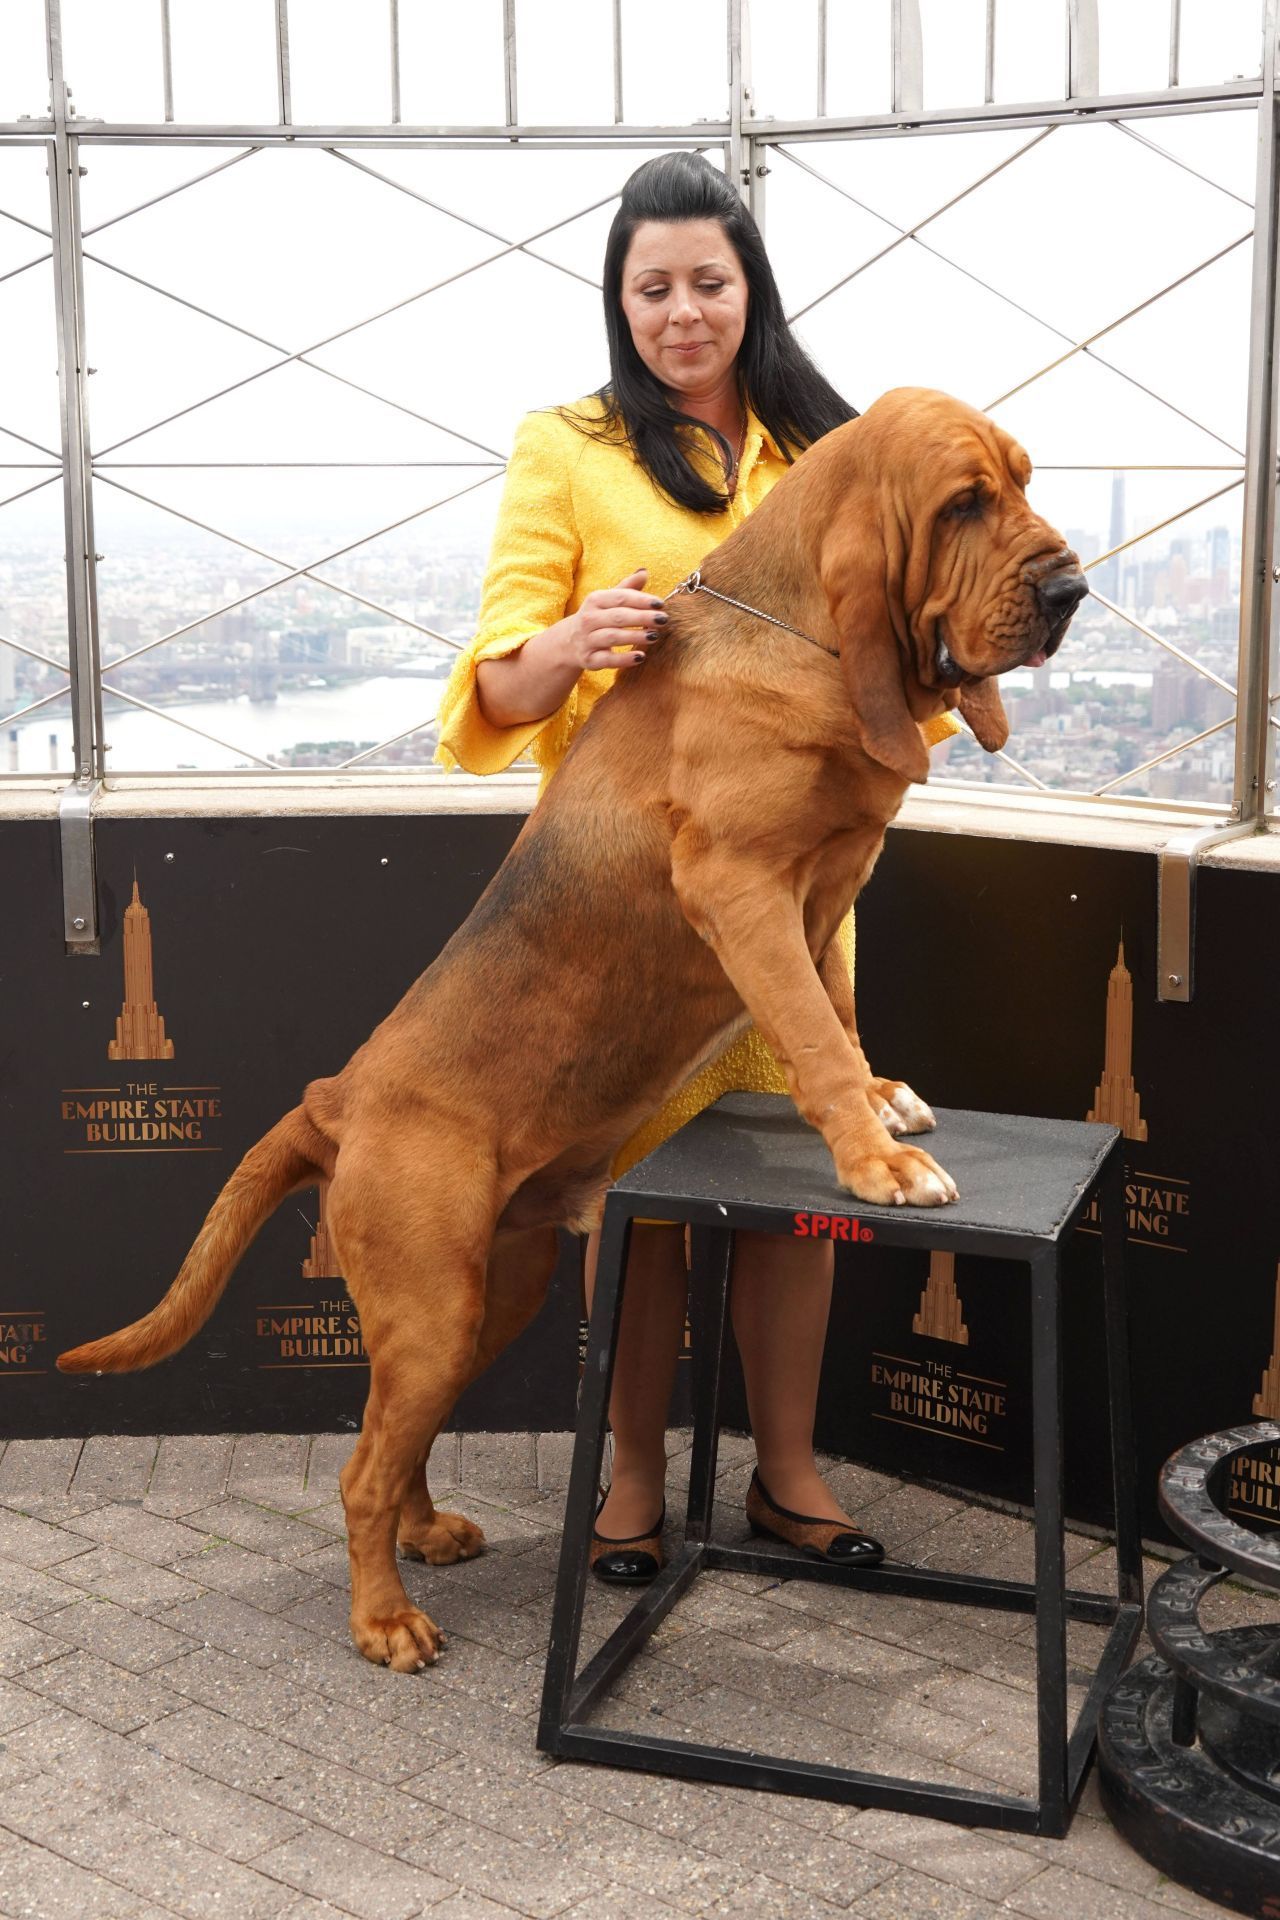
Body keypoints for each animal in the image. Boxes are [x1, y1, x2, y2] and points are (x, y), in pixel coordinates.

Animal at [57, 385, 1082, 1666]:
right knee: (357, 1470)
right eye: (960, 504)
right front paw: (874, 1159)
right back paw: (386, 1620)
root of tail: (335, 1100)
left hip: (491, 1294)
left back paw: (428, 1534)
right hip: (433, 1304)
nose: (1069, 590)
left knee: (397, 1440)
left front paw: (883, 1102)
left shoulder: (828, 884)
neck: (795, 632)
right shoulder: (741, 888)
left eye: (1023, 481)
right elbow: (809, 1028)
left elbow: (836, 1008)